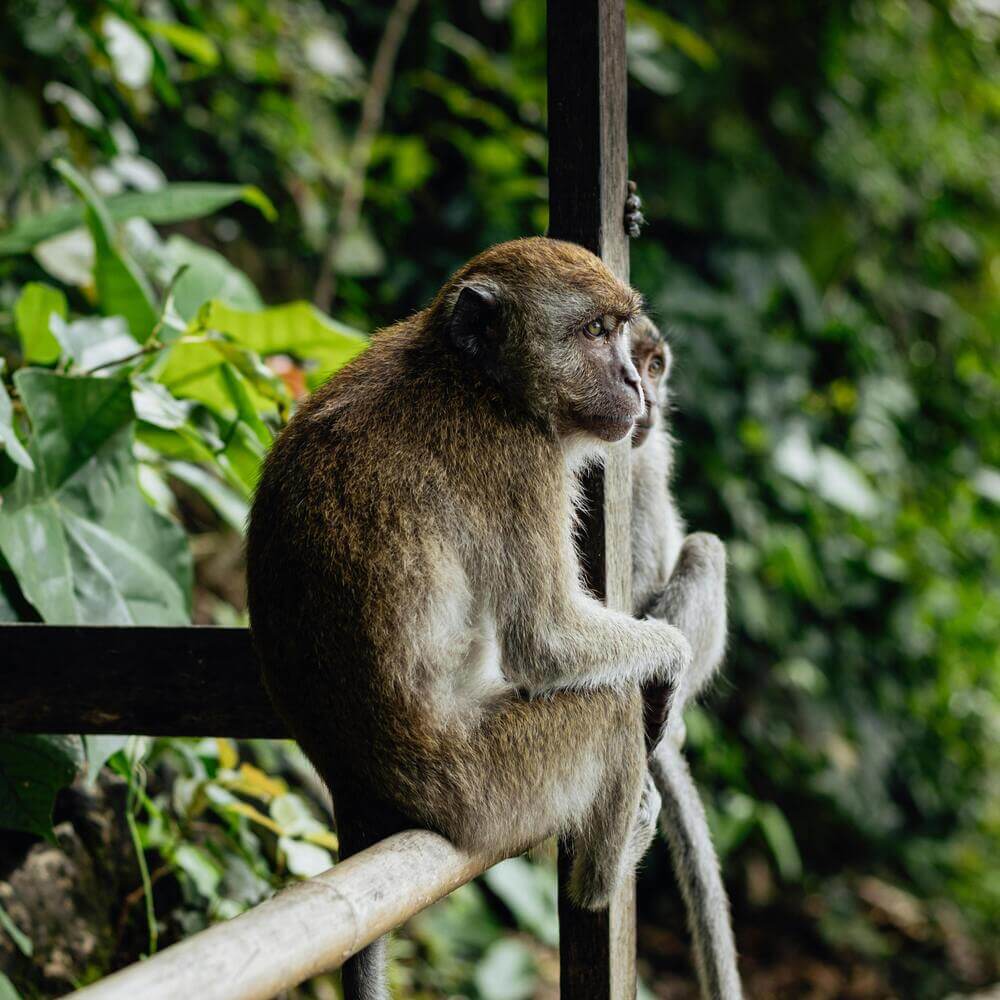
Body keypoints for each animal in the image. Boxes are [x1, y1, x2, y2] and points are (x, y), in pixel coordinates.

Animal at [246, 238, 692, 1000]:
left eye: (624, 335)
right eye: (595, 333)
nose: (636, 385)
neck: (478, 379)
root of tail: (354, 790)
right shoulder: (520, 462)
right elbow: (548, 640)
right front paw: (671, 655)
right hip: (492, 790)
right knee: (606, 710)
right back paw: (602, 879)